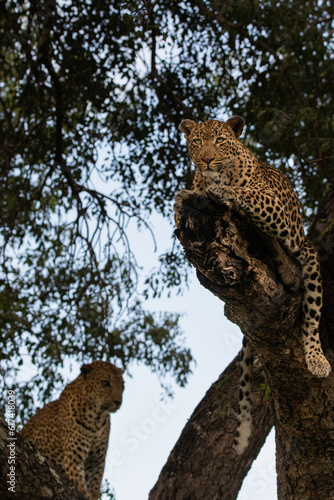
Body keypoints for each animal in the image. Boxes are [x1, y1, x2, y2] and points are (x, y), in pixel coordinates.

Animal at [19, 362, 124, 498]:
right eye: (105, 382)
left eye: (122, 385)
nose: (118, 402)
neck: (96, 418)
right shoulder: (73, 460)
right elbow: (82, 488)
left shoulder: (96, 463)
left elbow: (94, 488)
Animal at [180, 116, 332, 454]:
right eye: (196, 142)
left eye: (220, 141)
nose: (206, 160)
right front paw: (182, 196)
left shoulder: (270, 203)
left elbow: (247, 193)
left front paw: (222, 188)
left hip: (307, 255)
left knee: (311, 315)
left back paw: (317, 360)